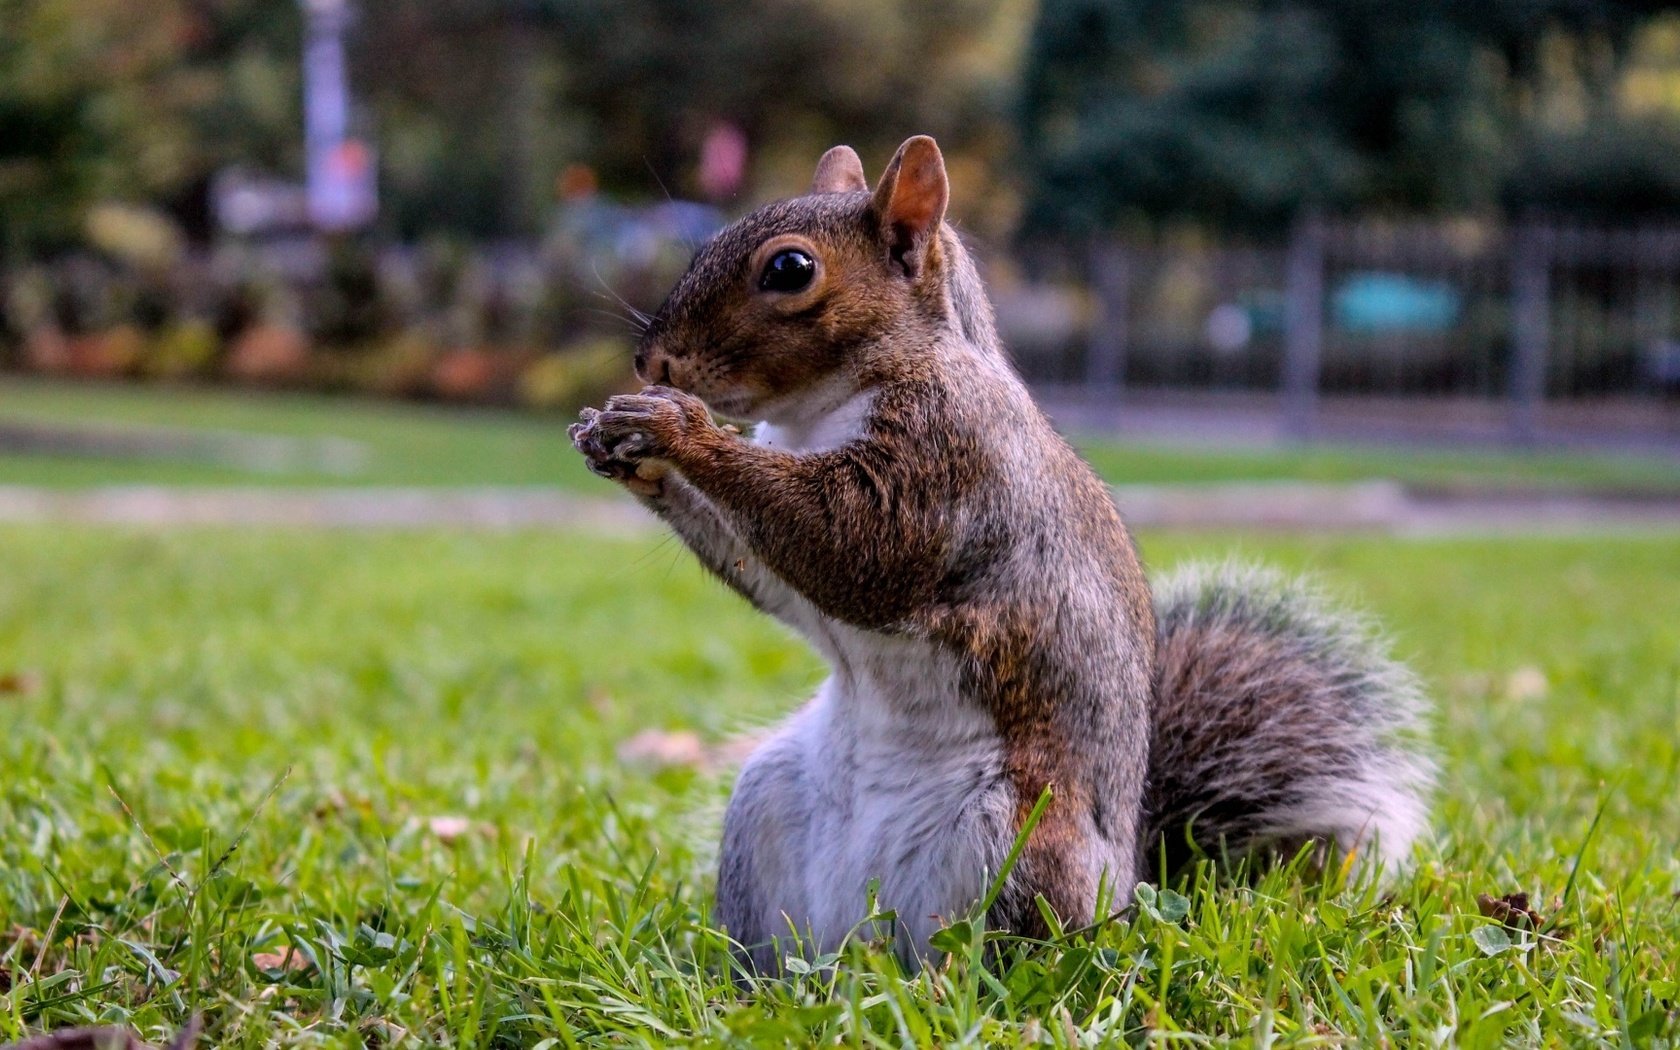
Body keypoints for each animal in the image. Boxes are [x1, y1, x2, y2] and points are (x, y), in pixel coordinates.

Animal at [567, 135, 1431, 967]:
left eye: (790, 269)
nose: (652, 363)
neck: (824, 408)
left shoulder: (949, 455)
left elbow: (853, 548)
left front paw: (677, 429)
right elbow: (772, 571)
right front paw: (624, 450)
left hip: (1010, 839)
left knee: (1007, 957)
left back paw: (946, 981)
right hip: (766, 805)